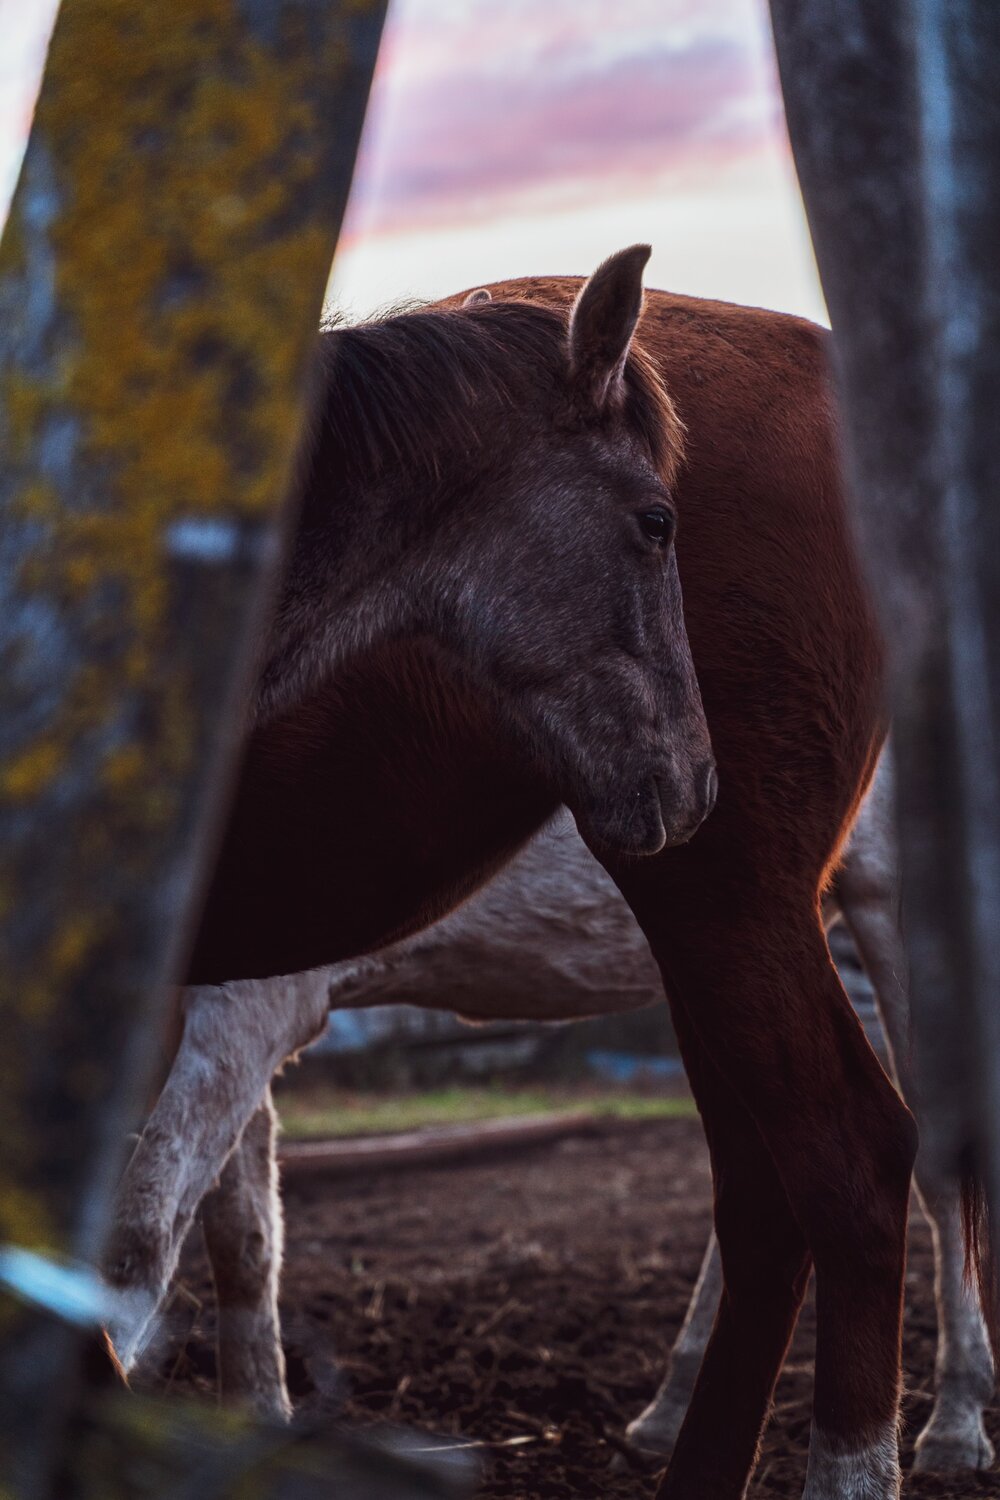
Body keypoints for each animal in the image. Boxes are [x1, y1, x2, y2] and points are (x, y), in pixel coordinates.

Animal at [106, 250, 918, 1500]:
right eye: (653, 520)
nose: (693, 780)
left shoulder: (223, 1002)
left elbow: (144, 1245)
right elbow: (227, 1237)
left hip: (745, 904)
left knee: (858, 1163)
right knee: (764, 1201)